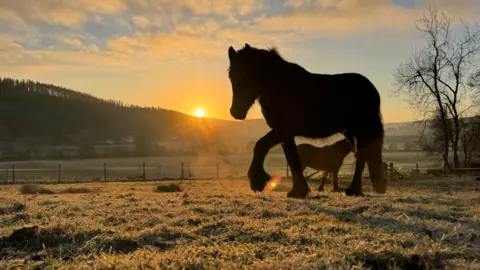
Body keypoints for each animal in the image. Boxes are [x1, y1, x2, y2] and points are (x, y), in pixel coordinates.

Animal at [227, 43, 388, 197]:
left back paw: (353, 190)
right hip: (351, 132)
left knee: (361, 157)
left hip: (363, 131)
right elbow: (293, 159)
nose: (236, 112)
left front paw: (258, 181)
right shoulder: (285, 134)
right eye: (231, 76)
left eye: (248, 74)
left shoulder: (282, 130)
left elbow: (260, 146)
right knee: (361, 155)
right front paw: (298, 191)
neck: (281, 86)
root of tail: (371, 89)